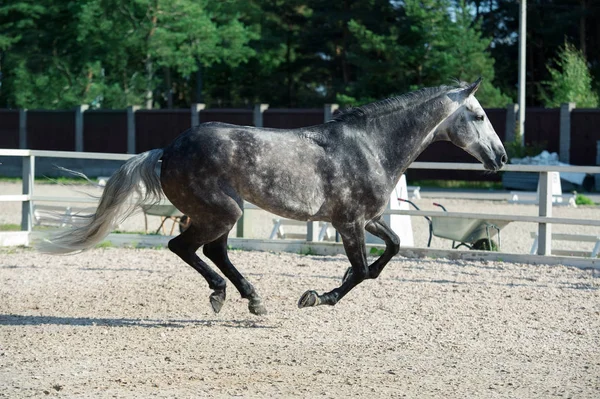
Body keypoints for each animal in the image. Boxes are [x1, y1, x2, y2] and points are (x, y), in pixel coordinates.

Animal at [37, 78, 506, 316]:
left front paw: (325, 290)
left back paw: (249, 298)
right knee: (185, 246)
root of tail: (166, 150)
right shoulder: (348, 223)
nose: (500, 157)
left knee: (213, 251)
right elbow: (361, 270)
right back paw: (227, 296)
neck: (369, 146)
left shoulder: (368, 218)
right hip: (221, 211)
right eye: (479, 116)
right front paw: (317, 298)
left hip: (220, 212)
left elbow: (389, 251)